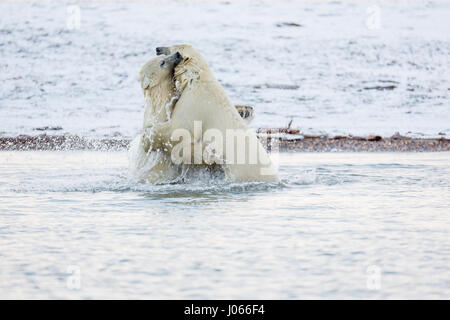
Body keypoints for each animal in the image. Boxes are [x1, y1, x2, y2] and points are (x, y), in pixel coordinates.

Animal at [128, 44, 280, 182]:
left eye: (171, 49)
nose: (157, 48)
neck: (198, 79)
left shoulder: (194, 101)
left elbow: (178, 129)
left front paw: (147, 137)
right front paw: (245, 111)